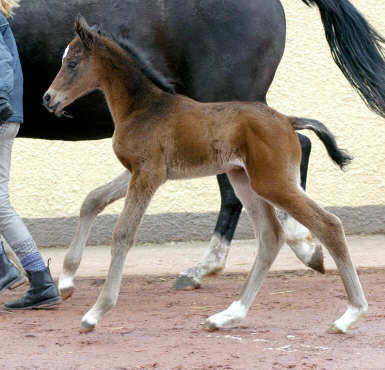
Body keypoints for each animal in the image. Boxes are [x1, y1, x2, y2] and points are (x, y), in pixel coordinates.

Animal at [10, 0, 382, 290]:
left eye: (72, 63)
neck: (145, 104)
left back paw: (211, 266)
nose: (48, 98)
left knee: (269, 175)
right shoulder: (140, 168)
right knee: (296, 150)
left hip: (231, 104)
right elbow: (91, 200)